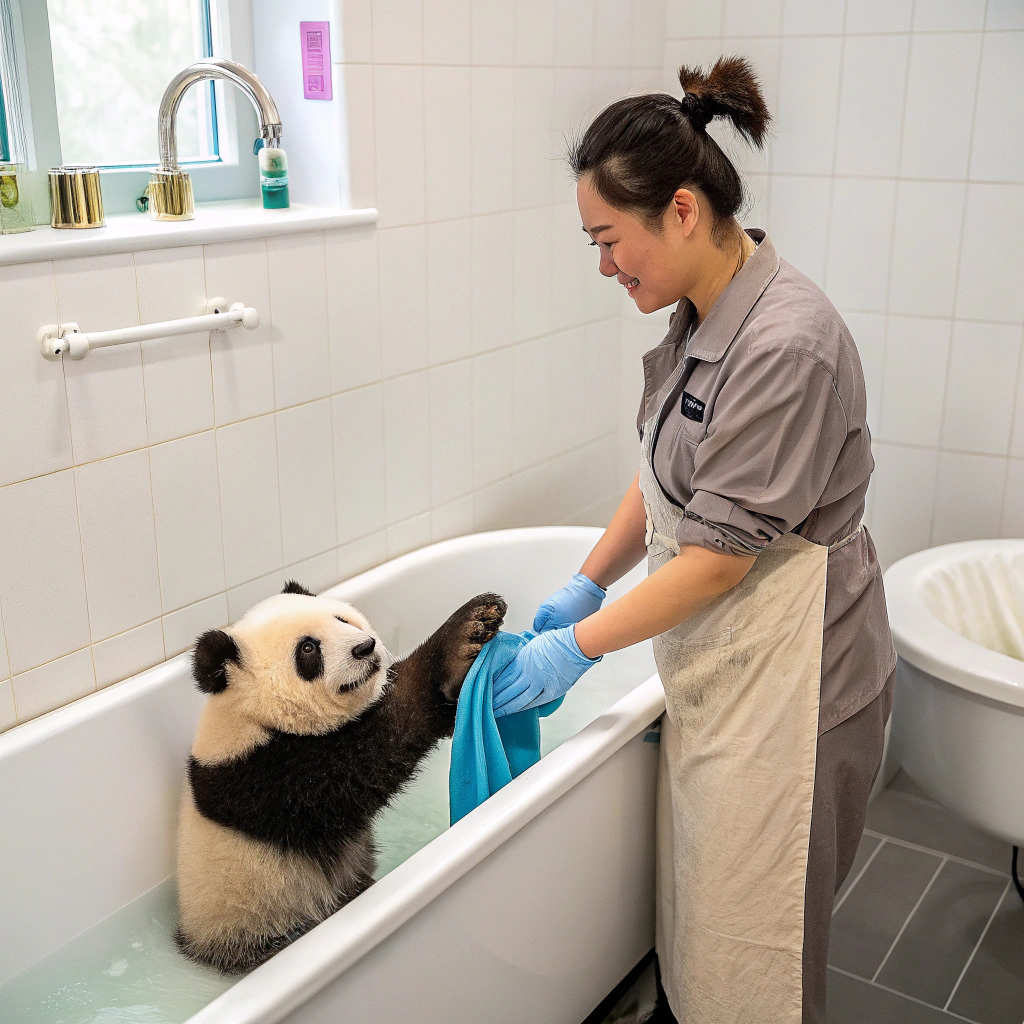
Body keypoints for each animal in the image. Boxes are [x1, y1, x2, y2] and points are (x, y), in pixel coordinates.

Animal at [175, 579, 506, 975]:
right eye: (308, 648)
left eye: (342, 619)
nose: (365, 647)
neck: (250, 717)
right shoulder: (264, 781)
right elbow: (366, 759)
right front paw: (458, 642)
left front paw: (481, 622)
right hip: (255, 923)